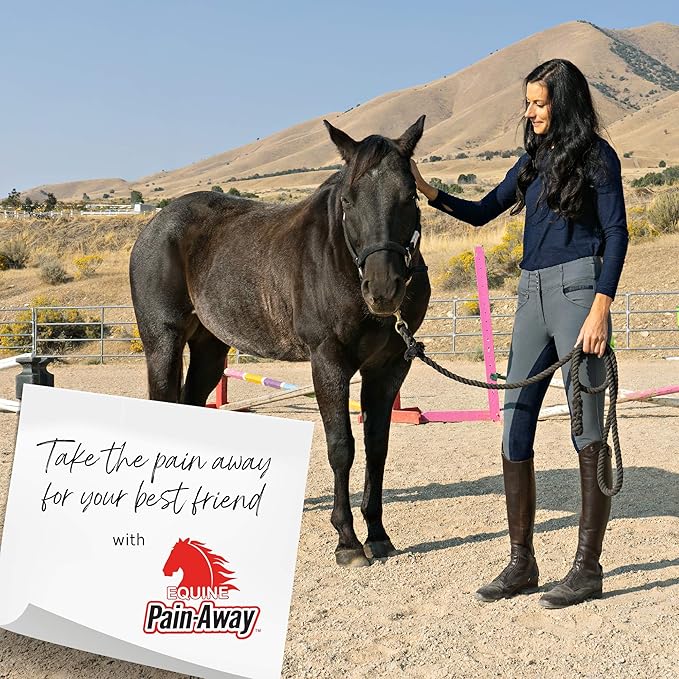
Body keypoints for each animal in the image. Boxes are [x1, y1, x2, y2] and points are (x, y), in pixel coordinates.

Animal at [130, 116, 432, 567]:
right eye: (348, 200)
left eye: (410, 195)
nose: (383, 289)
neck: (339, 258)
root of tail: (154, 226)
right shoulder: (328, 362)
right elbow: (341, 446)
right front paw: (348, 541)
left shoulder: (389, 367)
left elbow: (377, 446)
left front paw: (377, 535)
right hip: (163, 344)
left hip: (209, 351)